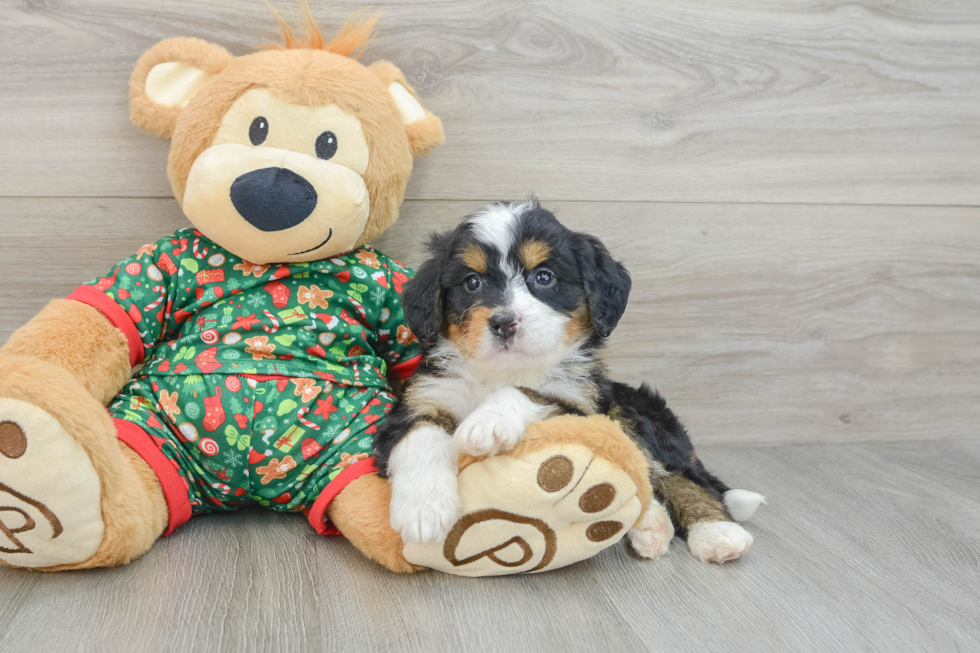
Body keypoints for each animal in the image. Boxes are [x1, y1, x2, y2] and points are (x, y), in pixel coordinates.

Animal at [378, 201, 764, 564]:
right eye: (472, 282)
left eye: (544, 277)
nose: (503, 322)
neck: (504, 370)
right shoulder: (421, 398)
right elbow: (421, 436)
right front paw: (423, 509)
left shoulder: (580, 406)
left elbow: (531, 394)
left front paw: (487, 422)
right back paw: (652, 526)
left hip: (633, 412)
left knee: (682, 477)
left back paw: (717, 532)